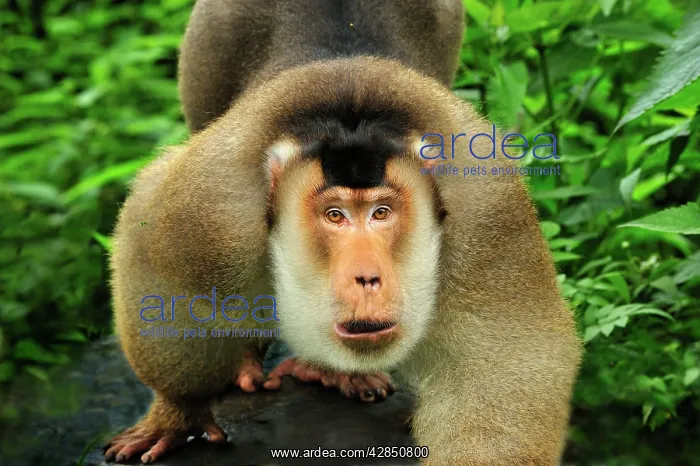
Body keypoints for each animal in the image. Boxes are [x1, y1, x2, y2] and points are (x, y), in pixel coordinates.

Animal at [105, 0, 582, 465]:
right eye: (335, 215)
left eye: (381, 213)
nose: (366, 278)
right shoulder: (210, 211)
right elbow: (149, 247)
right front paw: (179, 409)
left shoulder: (486, 212)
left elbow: (501, 365)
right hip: (209, 41)